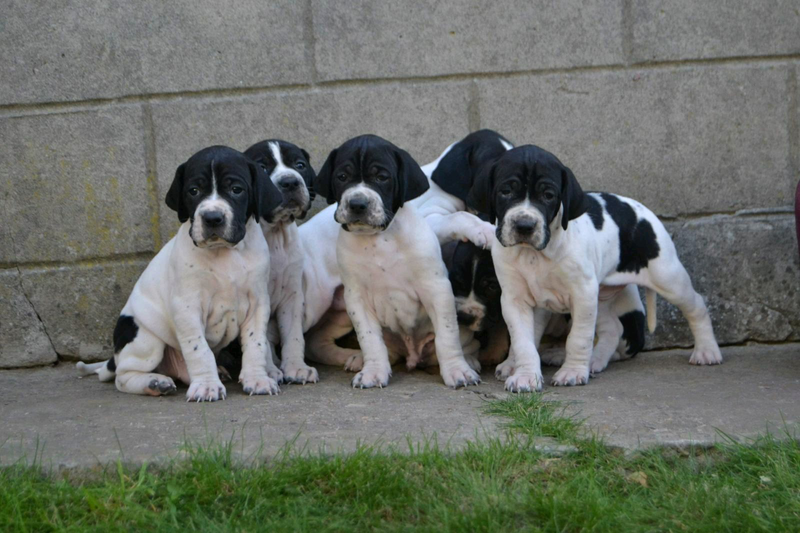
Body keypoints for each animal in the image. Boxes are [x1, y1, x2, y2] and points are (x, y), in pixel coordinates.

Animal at [77, 145, 284, 400]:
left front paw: (257, 379)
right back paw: (154, 382)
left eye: (236, 190)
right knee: (123, 376)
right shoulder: (188, 307)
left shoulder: (257, 304)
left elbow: (256, 345)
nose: (212, 218)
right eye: (193, 191)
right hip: (145, 339)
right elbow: (199, 349)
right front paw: (206, 385)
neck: (224, 254)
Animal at [242, 139, 320, 384]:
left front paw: (296, 367)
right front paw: (267, 372)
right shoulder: (259, 298)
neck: (275, 235)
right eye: (262, 167)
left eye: (299, 165)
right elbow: (261, 341)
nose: (290, 182)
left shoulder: (292, 296)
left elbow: (294, 335)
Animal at [314, 135, 482, 388]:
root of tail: (412, 356)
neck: (377, 239)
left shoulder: (436, 289)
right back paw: (359, 359)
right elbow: (370, 340)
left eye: (381, 177)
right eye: (342, 177)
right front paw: (373, 371)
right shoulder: (357, 299)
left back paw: (470, 360)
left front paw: (457, 371)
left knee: (468, 344)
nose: (357, 204)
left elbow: (447, 336)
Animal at [468, 144, 724, 390]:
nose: (524, 225)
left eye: (548, 195)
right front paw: (525, 376)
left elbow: (579, 338)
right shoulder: (515, 299)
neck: (535, 255)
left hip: (667, 277)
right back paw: (592, 360)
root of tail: (641, 209)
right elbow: (523, 341)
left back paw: (707, 350)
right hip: (601, 296)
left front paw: (572, 372)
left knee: (696, 305)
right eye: (506, 191)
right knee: (612, 329)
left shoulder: (582, 294)